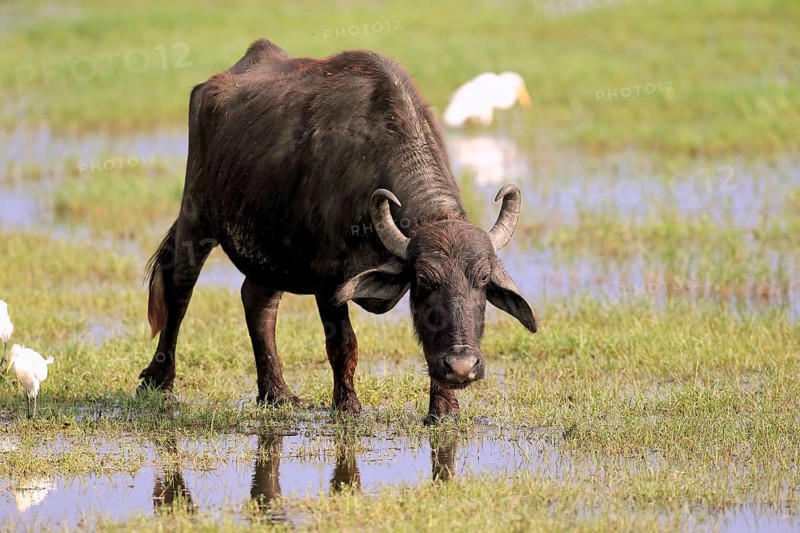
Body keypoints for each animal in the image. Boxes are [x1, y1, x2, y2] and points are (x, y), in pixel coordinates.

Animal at [139, 39, 537, 424]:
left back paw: (276, 392)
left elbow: (428, 342)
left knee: (257, 302)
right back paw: (158, 381)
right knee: (179, 288)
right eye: (424, 280)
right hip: (196, 213)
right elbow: (343, 344)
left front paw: (444, 409)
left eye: (482, 281)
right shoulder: (327, 282)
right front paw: (346, 406)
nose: (462, 366)